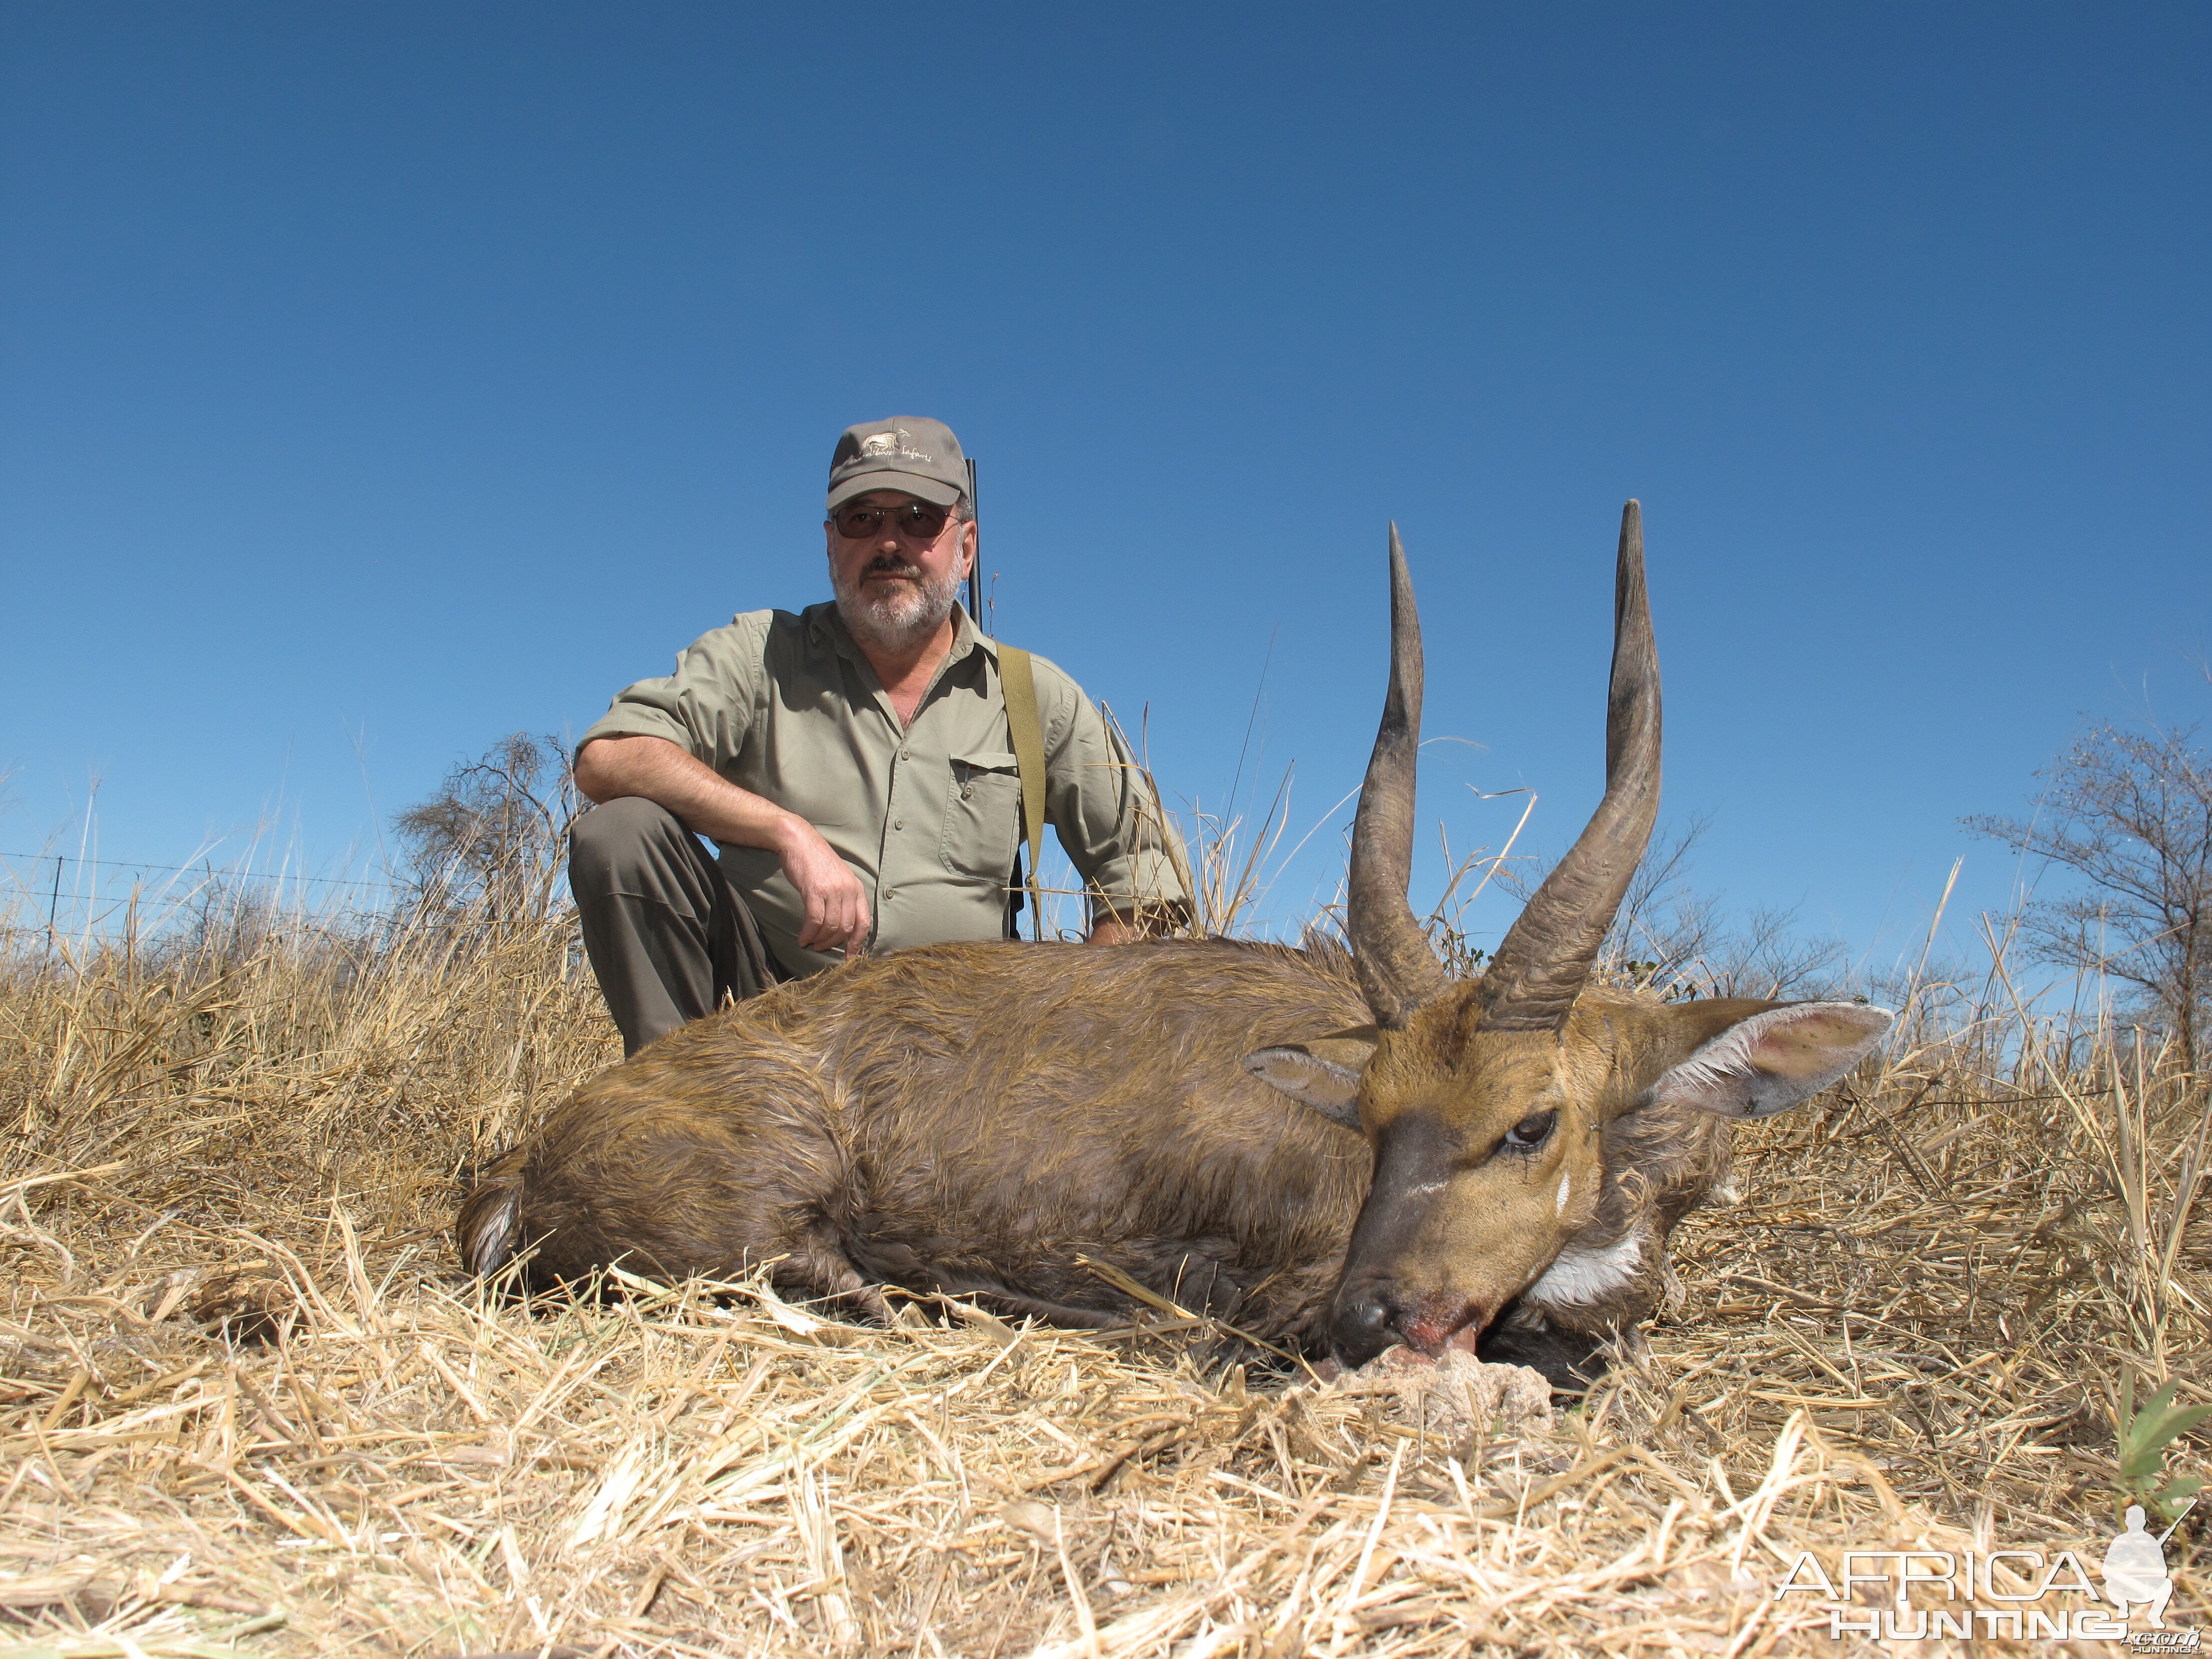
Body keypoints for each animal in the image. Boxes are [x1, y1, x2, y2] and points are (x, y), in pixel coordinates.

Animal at [462, 511, 1884, 1389]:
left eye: (1530, 1122)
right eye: (1372, 1120)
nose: (1370, 1316)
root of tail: (534, 1157)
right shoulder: (1275, 1287)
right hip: (768, 1200)